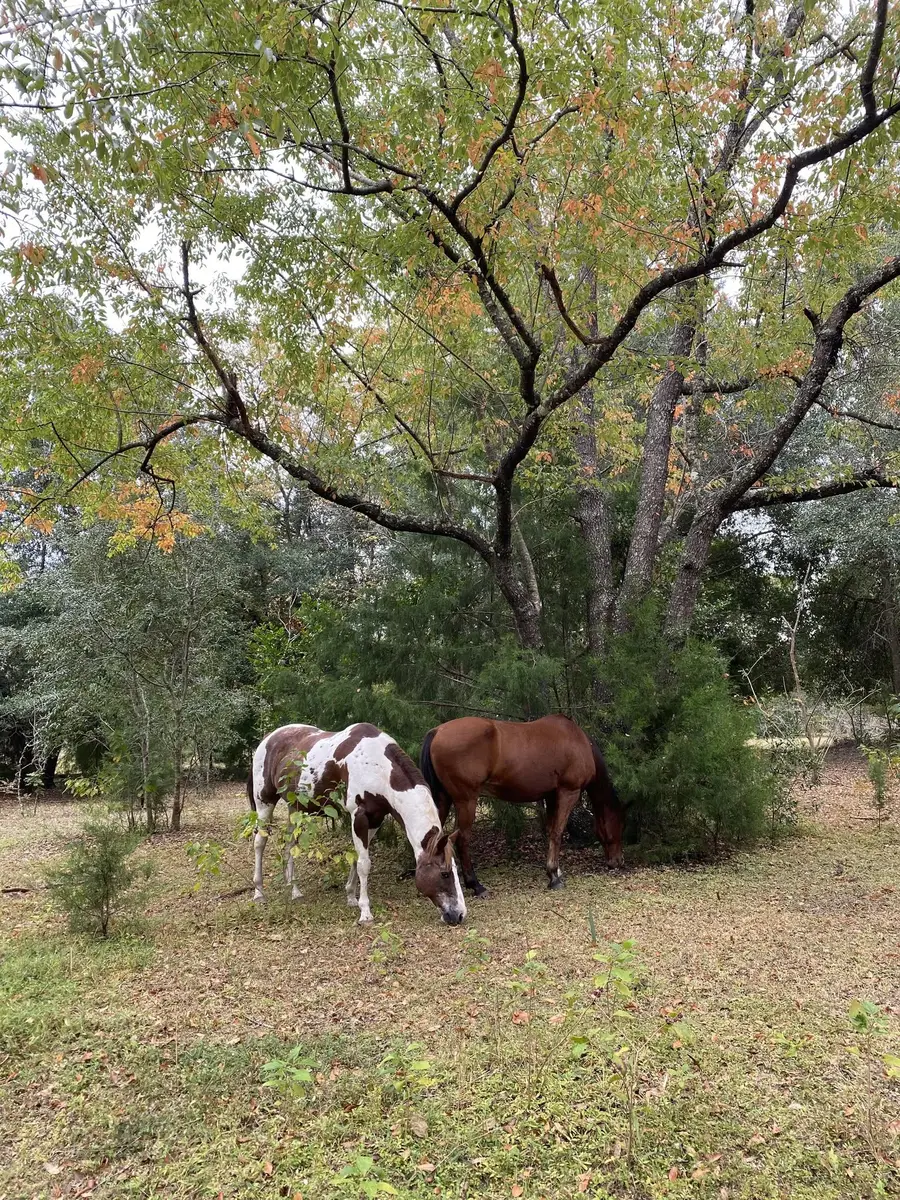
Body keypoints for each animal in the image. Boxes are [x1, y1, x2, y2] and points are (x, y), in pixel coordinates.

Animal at [249, 722, 467, 925]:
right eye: (445, 873)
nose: (459, 914)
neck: (376, 765)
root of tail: (268, 738)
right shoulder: (359, 815)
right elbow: (364, 863)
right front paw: (365, 912)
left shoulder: (375, 819)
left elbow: (356, 858)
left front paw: (351, 897)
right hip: (265, 802)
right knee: (259, 842)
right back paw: (259, 892)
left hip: (295, 809)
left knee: (289, 846)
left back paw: (294, 890)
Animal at [420, 713, 625, 896]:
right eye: (619, 826)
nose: (617, 862)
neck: (579, 742)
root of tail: (437, 731)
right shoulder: (568, 792)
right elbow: (557, 832)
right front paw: (554, 876)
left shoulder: (551, 796)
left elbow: (550, 830)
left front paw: (555, 872)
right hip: (466, 801)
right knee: (462, 839)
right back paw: (476, 885)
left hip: (442, 799)